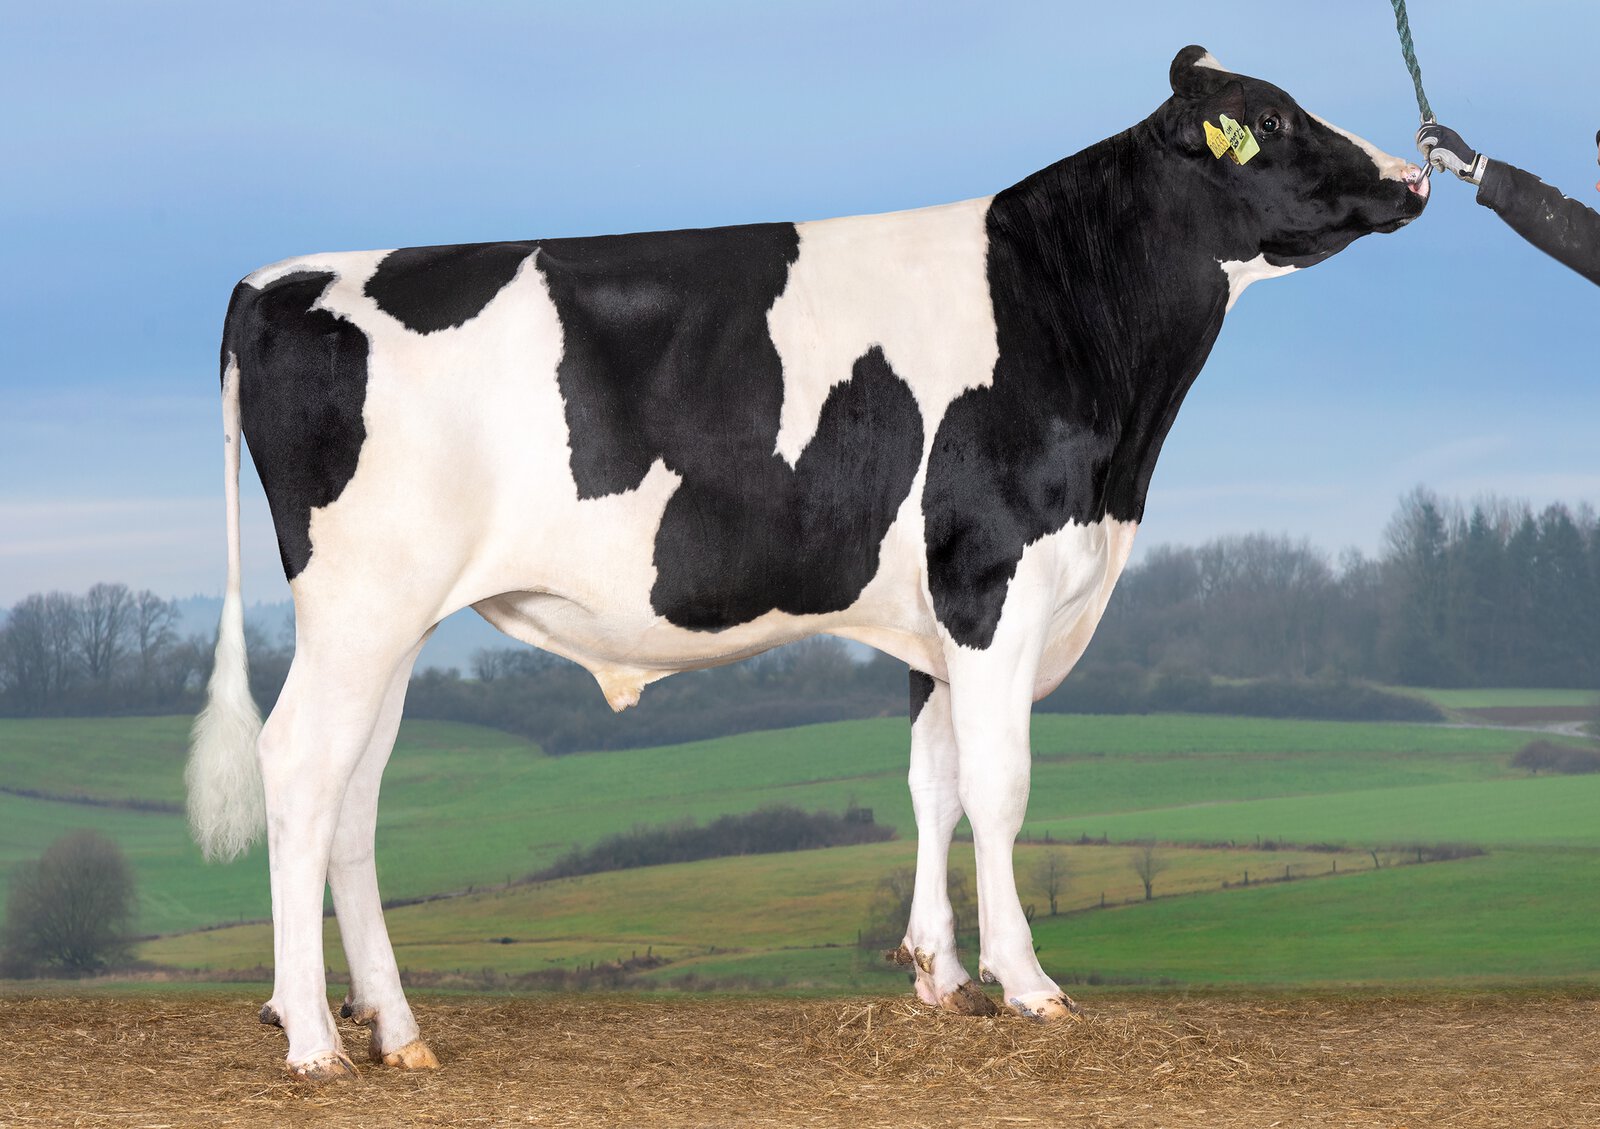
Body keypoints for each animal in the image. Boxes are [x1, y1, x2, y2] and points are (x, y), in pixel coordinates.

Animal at [188, 46, 1428, 1079]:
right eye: (1269, 117)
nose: (1415, 174)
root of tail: (274, 281)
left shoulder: (936, 612)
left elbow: (933, 780)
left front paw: (939, 972)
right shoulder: (993, 580)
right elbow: (1000, 785)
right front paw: (1025, 981)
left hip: (391, 620)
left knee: (353, 795)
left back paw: (396, 1030)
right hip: (362, 601)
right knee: (297, 766)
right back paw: (313, 1039)